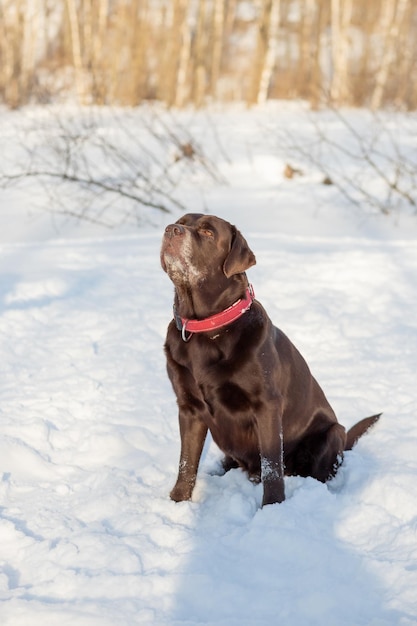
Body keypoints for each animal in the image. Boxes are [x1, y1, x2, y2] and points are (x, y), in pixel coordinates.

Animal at [160, 212, 380, 504]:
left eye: (208, 232)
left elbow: (272, 464)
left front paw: (272, 506)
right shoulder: (189, 407)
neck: (206, 327)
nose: (171, 229)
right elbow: (186, 462)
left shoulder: (266, 405)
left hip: (332, 433)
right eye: (181, 221)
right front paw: (177, 501)